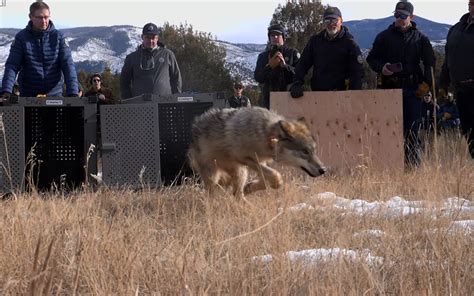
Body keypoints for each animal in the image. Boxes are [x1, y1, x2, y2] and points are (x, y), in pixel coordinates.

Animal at [188, 107, 326, 199]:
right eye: (305, 151)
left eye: (314, 150)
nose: (323, 170)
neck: (266, 134)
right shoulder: (246, 158)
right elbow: (276, 175)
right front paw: (276, 184)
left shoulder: (260, 161)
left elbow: (265, 181)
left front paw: (249, 187)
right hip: (214, 176)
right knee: (212, 194)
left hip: (241, 172)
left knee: (237, 194)